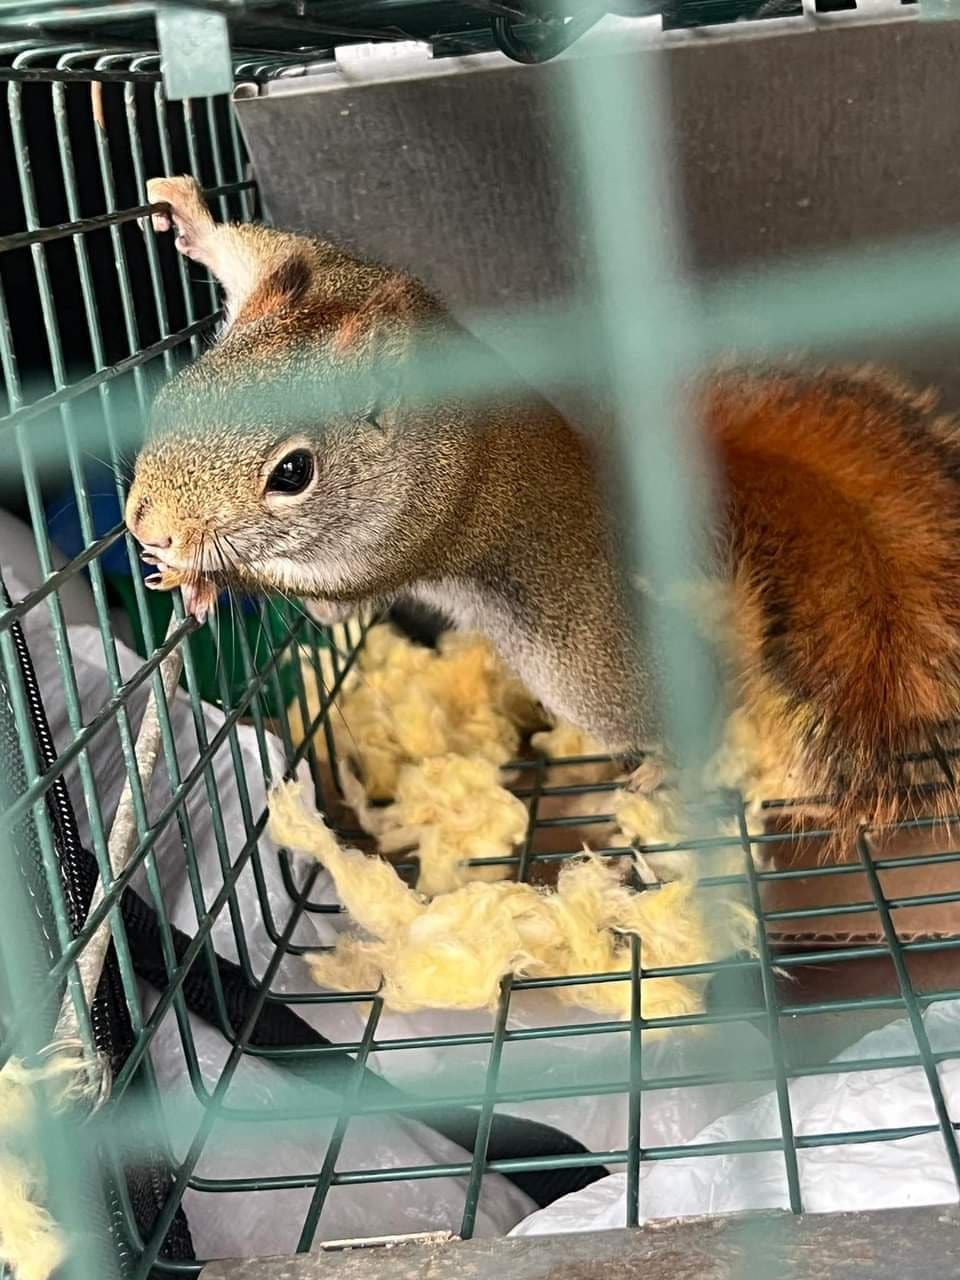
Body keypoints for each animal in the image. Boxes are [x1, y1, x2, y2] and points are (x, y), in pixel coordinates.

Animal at [127, 175, 960, 845]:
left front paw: (200, 577)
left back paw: (670, 763)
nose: (145, 525)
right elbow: (253, 245)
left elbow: (328, 592)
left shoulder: (406, 534)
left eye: (293, 473)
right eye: (177, 393)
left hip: (585, 666)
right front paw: (185, 208)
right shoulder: (321, 269)